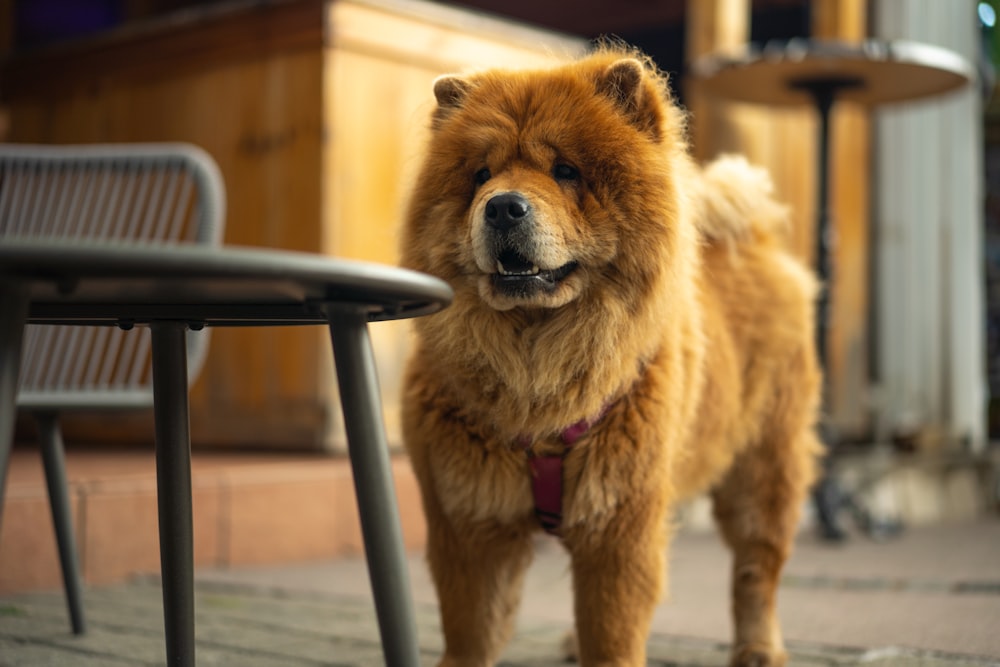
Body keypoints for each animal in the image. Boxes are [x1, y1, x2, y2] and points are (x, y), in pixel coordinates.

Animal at [396, 44, 820, 664]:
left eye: (565, 171)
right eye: (481, 175)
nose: (502, 207)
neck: (537, 374)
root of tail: (755, 239)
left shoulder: (618, 524)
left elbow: (613, 629)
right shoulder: (470, 519)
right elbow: (473, 630)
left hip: (763, 469)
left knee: (755, 572)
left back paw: (759, 648)